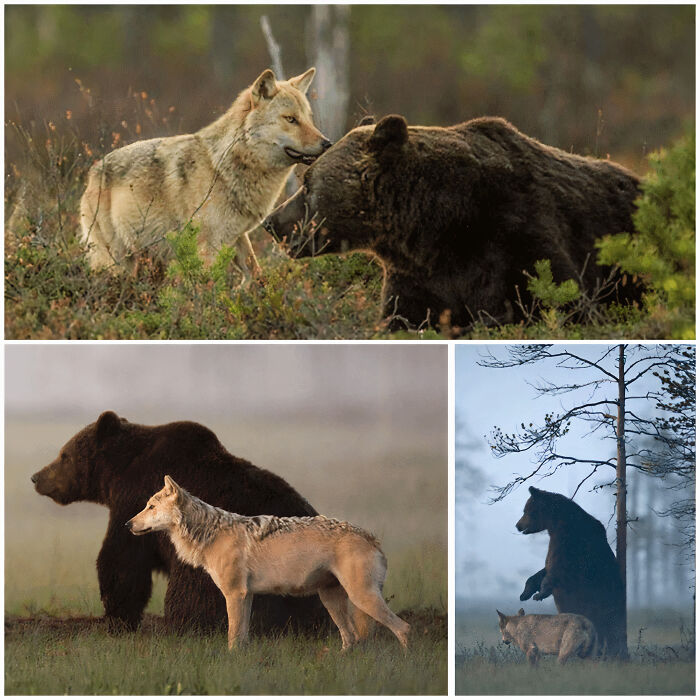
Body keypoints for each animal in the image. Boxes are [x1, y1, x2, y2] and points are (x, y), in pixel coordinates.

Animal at [31, 410, 327, 634]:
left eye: (64, 455)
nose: (36, 477)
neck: (119, 472)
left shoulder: (134, 499)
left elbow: (122, 559)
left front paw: (118, 617)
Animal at [80, 68, 331, 278]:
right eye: (291, 119)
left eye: (308, 119)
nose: (327, 143)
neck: (223, 167)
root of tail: (92, 173)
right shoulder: (207, 247)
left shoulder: (238, 236)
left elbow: (255, 274)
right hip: (116, 261)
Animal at [126, 476, 410, 651]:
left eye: (150, 507)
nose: (127, 524)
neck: (210, 533)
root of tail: (373, 538)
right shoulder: (246, 596)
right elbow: (242, 637)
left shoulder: (235, 594)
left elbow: (232, 637)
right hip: (332, 601)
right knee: (351, 639)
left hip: (361, 598)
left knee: (403, 628)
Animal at [262, 114, 641, 331]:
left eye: (307, 182)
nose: (271, 222)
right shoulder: (419, 278)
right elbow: (403, 319)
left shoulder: (518, 235)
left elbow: (563, 303)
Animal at [516, 486, 627, 658]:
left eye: (526, 510)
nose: (518, 525)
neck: (557, 524)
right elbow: (543, 570)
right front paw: (525, 593)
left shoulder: (570, 545)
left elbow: (556, 570)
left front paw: (539, 593)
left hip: (602, 603)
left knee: (606, 626)